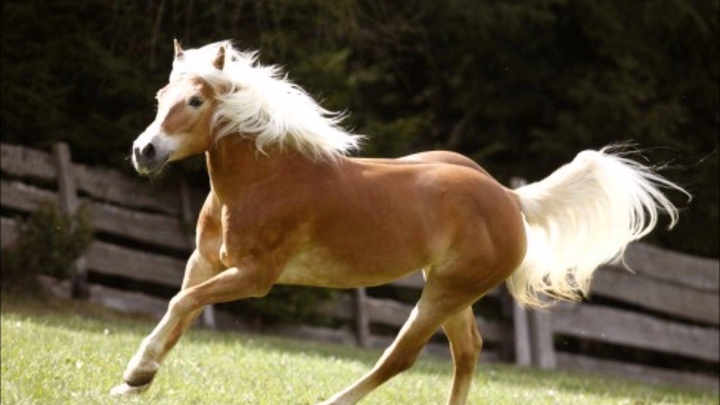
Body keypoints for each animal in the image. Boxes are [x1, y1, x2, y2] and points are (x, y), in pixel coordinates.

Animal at [110, 40, 687, 405]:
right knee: (467, 351)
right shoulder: (206, 261)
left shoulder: (255, 276)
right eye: (160, 98)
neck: (266, 179)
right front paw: (134, 382)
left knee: (401, 356)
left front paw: (136, 373)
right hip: (450, 290)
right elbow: (180, 310)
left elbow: (182, 305)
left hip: (445, 291)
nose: (144, 151)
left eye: (195, 99)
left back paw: (332, 403)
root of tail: (508, 198)